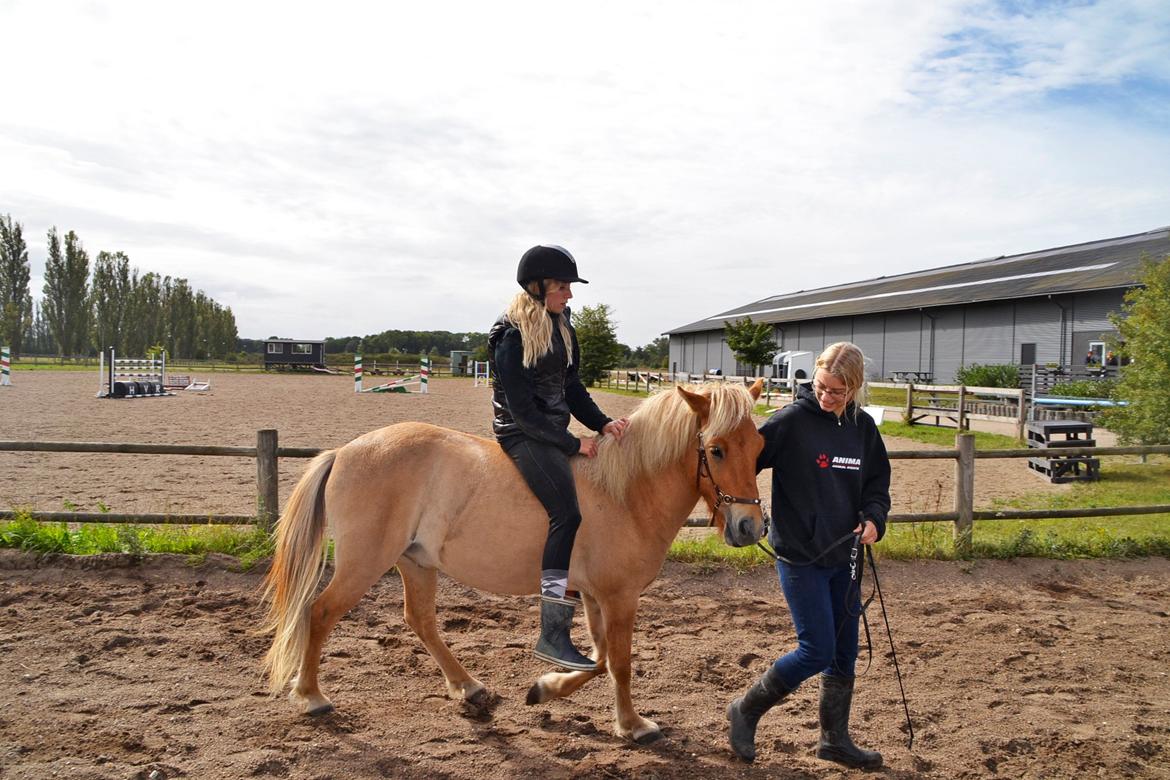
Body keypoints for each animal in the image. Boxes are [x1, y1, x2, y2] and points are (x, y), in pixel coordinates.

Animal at [260, 378, 762, 743]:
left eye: (758, 449)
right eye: (715, 449)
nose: (750, 528)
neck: (626, 492)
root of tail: (344, 451)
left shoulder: (597, 595)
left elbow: (598, 658)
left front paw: (545, 689)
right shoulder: (619, 597)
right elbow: (618, 661)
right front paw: (634, 726)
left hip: (416, 562)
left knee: (420, 621)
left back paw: (470, 688)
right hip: (364, 563)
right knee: (320, 613)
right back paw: (311, 696)